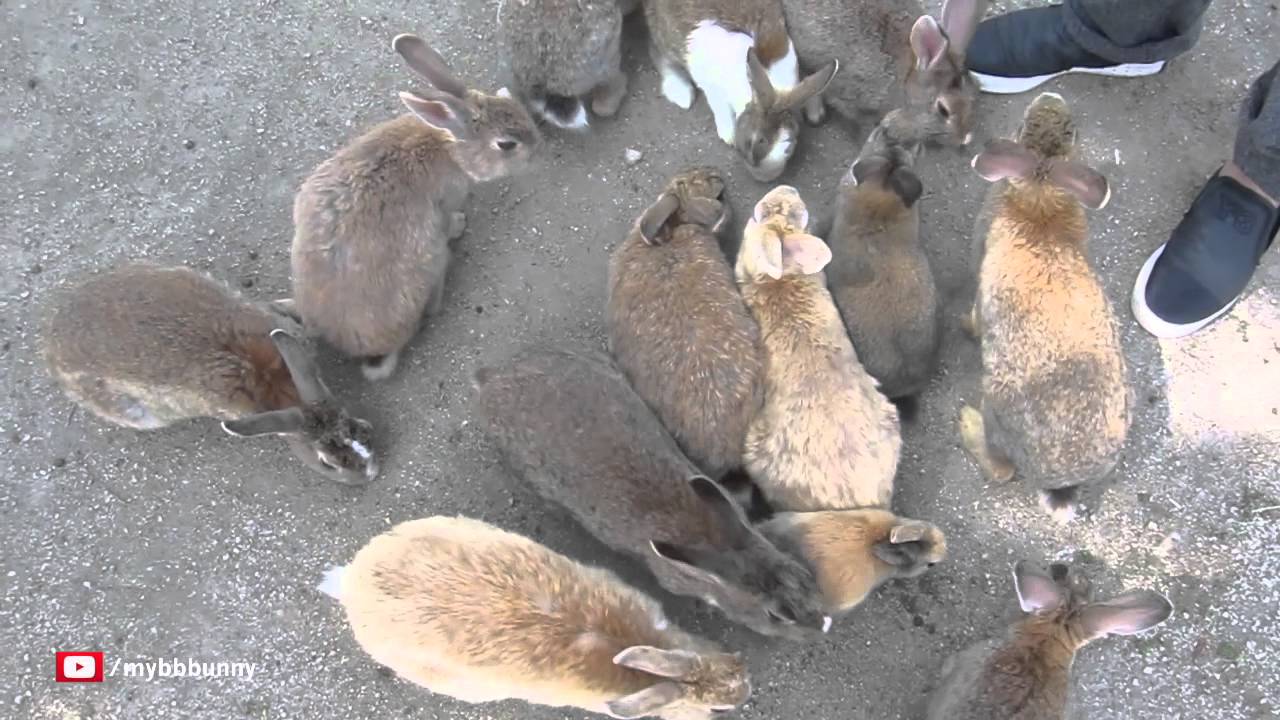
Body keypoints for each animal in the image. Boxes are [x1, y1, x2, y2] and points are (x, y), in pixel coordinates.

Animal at [290, 33, 540, 381]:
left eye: (511, 105)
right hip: (430, 259)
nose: (538, 147)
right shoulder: (446, 200)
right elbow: (450, 217)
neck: (449, 145)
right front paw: (460, 223)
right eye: (506, 145)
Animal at [644, 0, 838, 181]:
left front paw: (816, 113)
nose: (766, 177)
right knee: (657, 54)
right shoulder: (712, 87)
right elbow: (719, 108)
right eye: (754, 141)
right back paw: (681, 93)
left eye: (789, 145)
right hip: (666, 39)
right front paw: (728, 135)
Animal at [960, 92, 1129, 523]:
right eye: (1071, 131)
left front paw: (966, 327)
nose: (1050, 97)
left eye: (1020, 127)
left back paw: (966, 422)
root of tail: (1058, 481)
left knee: (1000, 469)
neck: (1041, 193)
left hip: (995, 408)